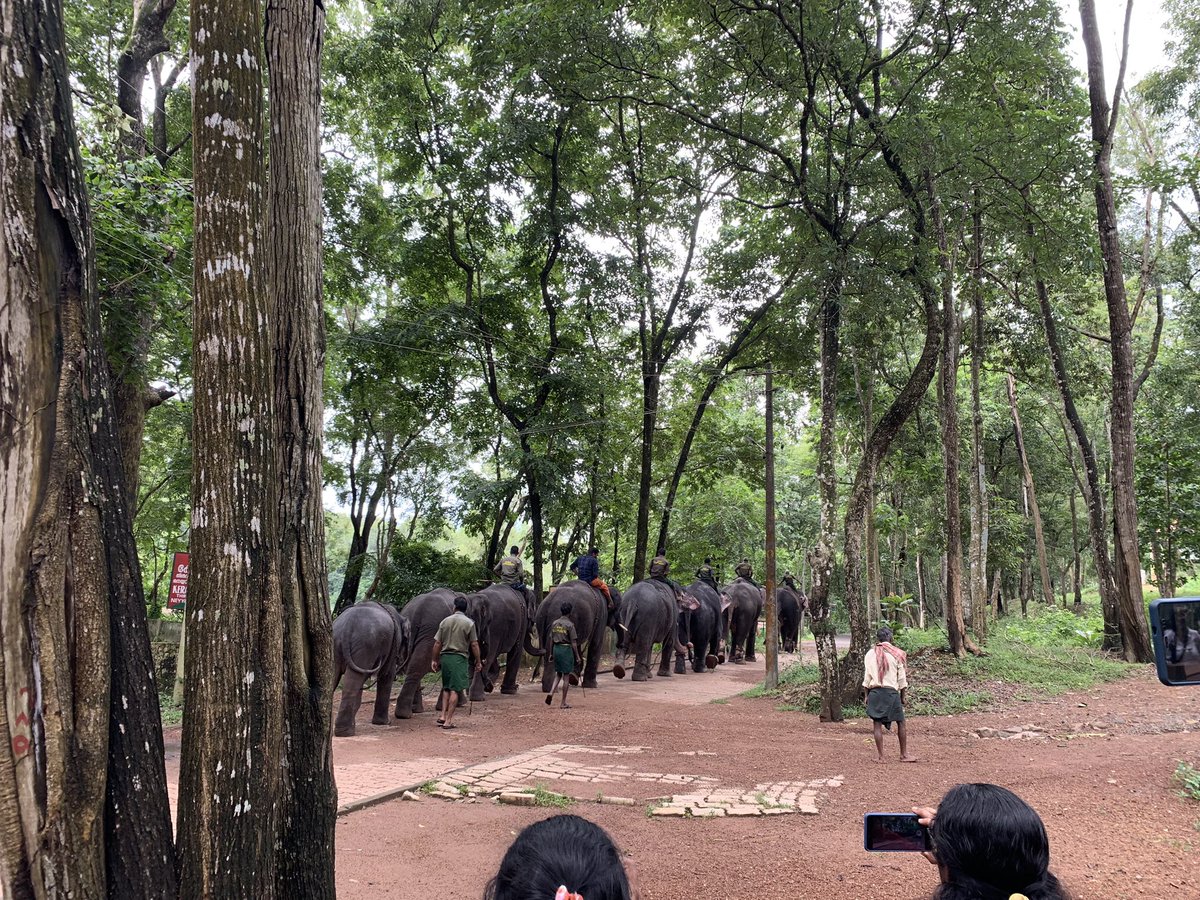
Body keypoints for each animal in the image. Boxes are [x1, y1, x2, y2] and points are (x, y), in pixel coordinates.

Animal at [332, 601, 413, 737]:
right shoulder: (393, 646)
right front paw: (385, 723)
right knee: (353, 681)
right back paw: (346, 732)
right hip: (366, 645)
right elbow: (387, 675)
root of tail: (348, 625)